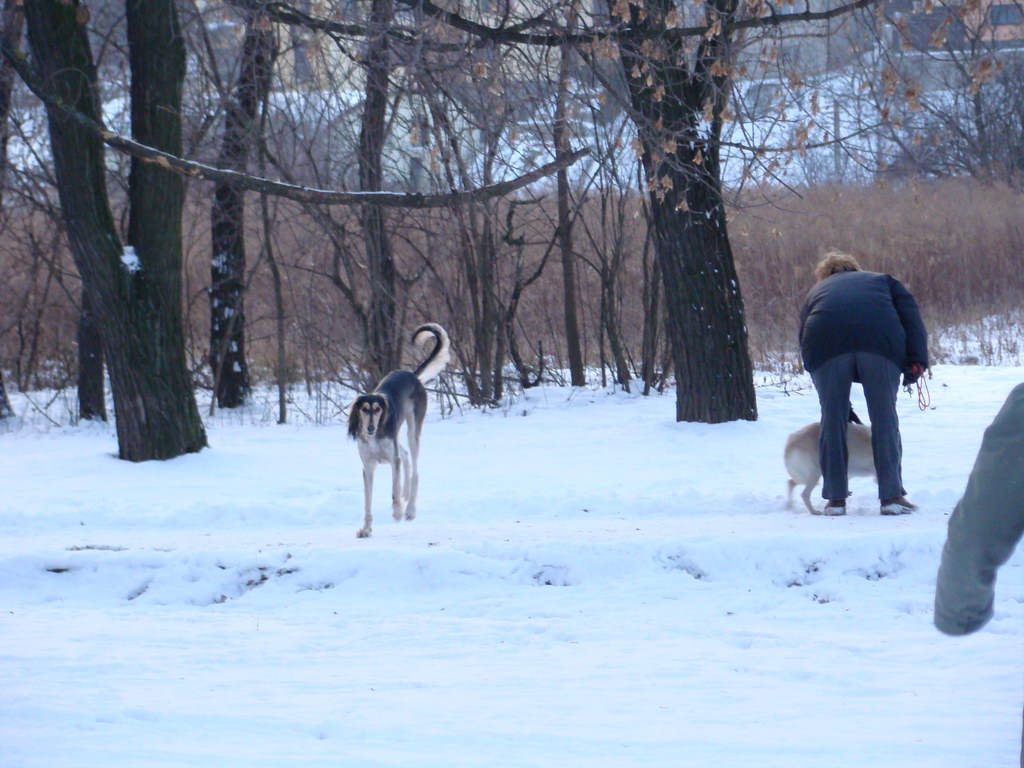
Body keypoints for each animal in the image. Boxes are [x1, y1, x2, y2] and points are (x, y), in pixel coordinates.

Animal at [348, 325, 452, 540]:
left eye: (378, 409)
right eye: (364, 410)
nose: (370, 429)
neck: (374, 439)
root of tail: (411, 374)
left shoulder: (392, 458)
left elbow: (394, 490)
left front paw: (397, 511)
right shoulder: (368, 466)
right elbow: (367, 502)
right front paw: (366, 529)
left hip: (413, 430)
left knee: (414, 467)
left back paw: (410, 509)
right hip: (397, 438)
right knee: (405, 457)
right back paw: (406, 497)